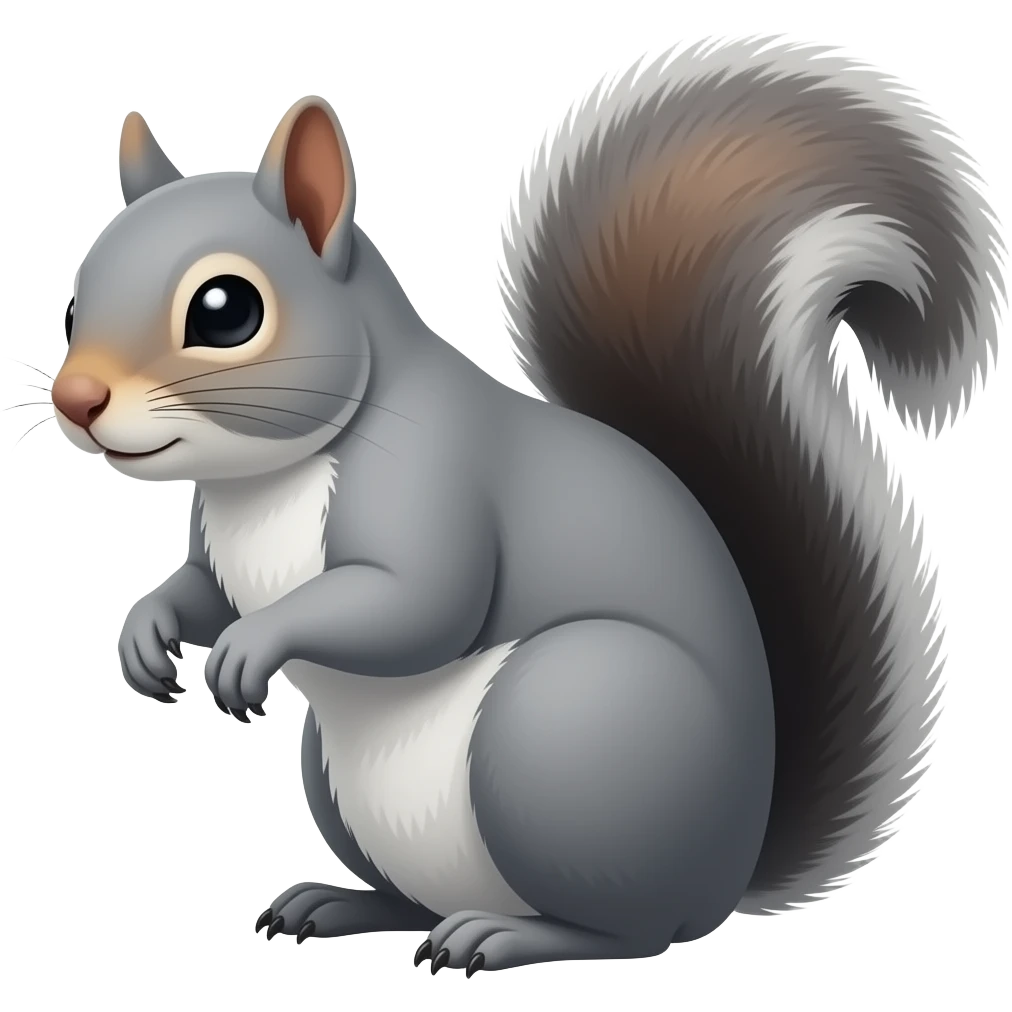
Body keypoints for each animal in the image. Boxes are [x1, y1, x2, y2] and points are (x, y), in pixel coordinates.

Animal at [53, 33, 1005, 975]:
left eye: (227, 310)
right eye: (75, 295)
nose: (76, 400)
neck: (265, 483)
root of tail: (730, 870)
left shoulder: (431, 481)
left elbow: (417, 603)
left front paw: (253, 645)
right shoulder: (220, 547)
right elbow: (204, 593)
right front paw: (145, 634)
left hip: (559, 728)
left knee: (629, 929)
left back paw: (506, 936)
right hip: (339, 775)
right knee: (417, 898)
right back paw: (341, 903)